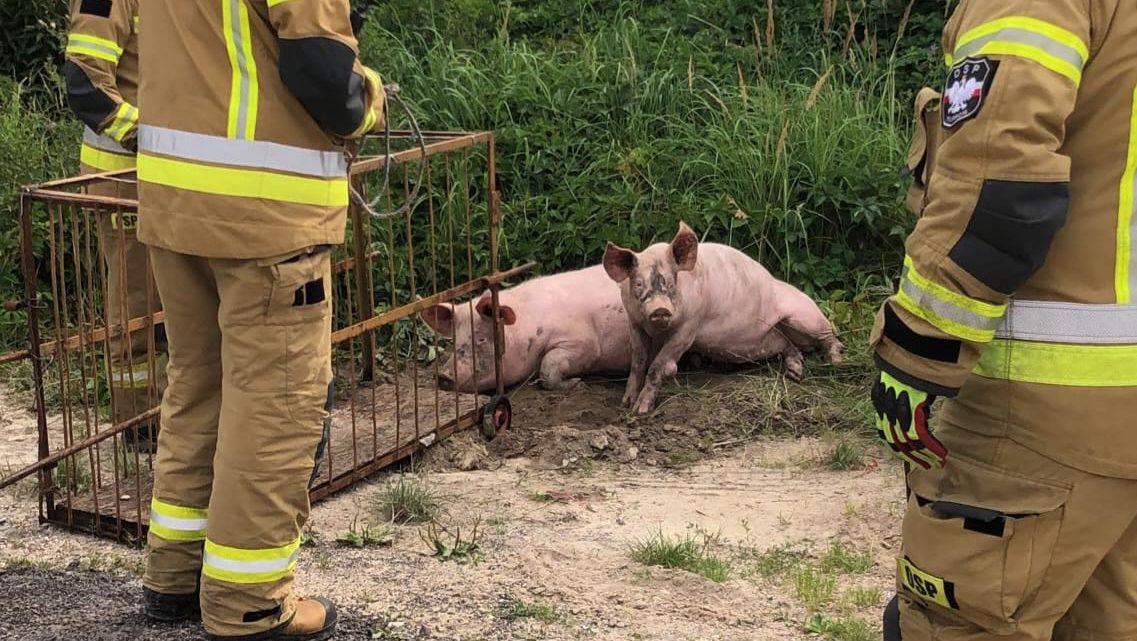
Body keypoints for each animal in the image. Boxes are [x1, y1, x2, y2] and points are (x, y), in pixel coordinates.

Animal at [418, 263, 636, 393]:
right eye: (455, 339)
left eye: (481, 338)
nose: (443, 374)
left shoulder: (584, 342)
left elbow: (548, 366)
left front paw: (578, 384)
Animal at [604, 220, 845, 415]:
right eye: (638, 284)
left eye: (671, 282)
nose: (660, 309)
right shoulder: (634, 322)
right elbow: (638, 360)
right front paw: (626, 404)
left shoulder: (689, 327)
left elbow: (657, 366)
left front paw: (641, 411)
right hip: (778, 337)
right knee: (790, 346)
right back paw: (795, 374)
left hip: (808, 317)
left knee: (831, 338)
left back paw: (836, 362)